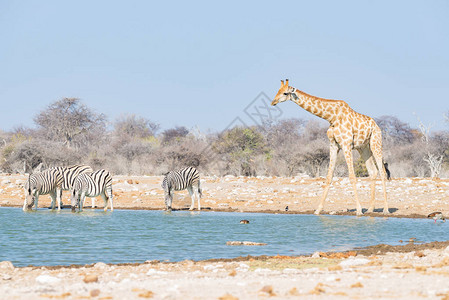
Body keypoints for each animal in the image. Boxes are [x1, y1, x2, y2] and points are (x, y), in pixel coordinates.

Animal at [272, 79, 386, 216]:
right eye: (277, 91)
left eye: (285, 93)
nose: (273, 102)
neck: (332, 117)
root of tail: (377, 126)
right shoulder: (333, 145)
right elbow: (328, 177)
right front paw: (318, 210)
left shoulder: (346, 144)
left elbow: (352, 177)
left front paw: (358, 210)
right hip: (363, 148)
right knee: (373, 171)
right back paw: (370, 209)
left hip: (375, 143)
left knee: (382, 171)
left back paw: (386, 209)